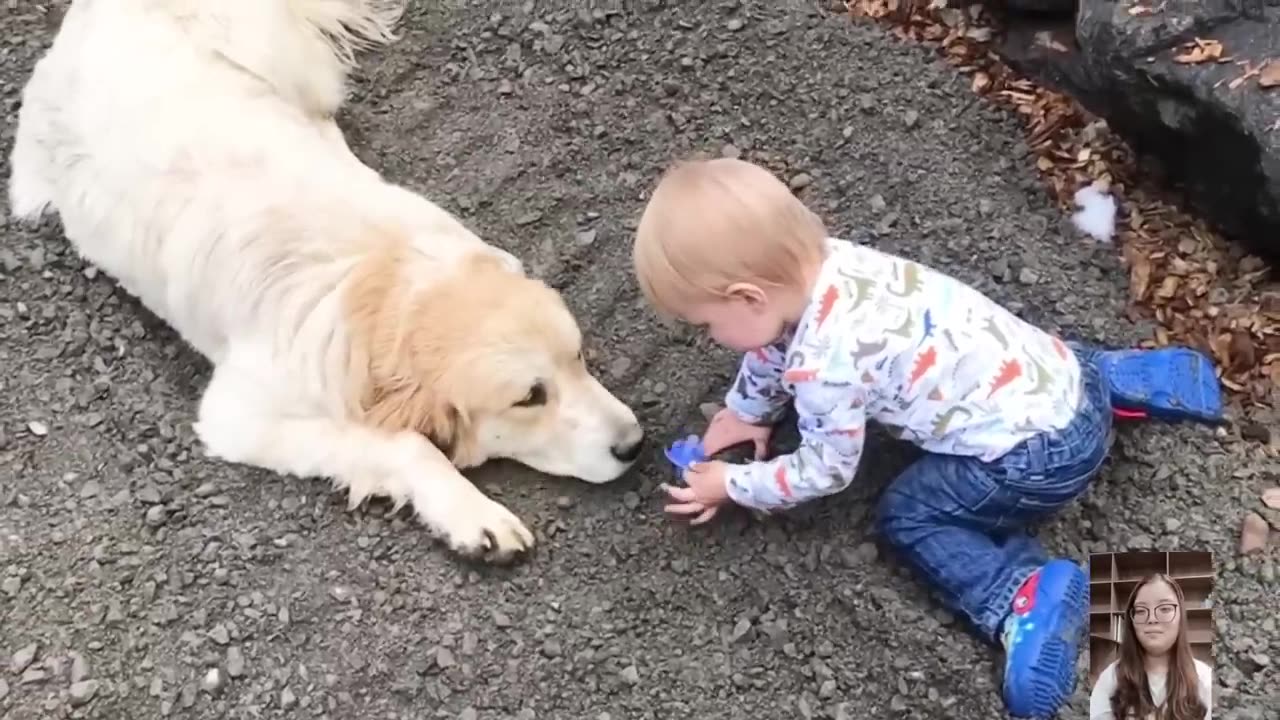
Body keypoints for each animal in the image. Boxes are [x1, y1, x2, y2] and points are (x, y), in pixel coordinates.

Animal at [7, 0, 650, 561]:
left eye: (578, 357)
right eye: (529, 398)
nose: (634, 444)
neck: (386, 286)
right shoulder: (239, 416)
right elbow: (404, 443)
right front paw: (472, 514)